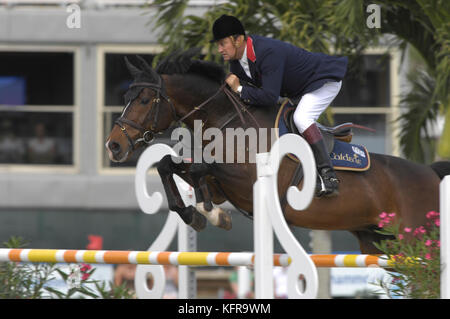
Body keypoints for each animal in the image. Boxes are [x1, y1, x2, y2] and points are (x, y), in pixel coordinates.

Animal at [104, 50, 446, 255]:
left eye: (144, 99)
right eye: (126, 96)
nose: (114, 145)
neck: (228, 120)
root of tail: (431, 173)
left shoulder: (247, 181)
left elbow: (202, 168)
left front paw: (211, 213)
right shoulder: (224, 185)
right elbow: (168, 165)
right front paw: (197, 213)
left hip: (417, 239)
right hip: (377, 241)